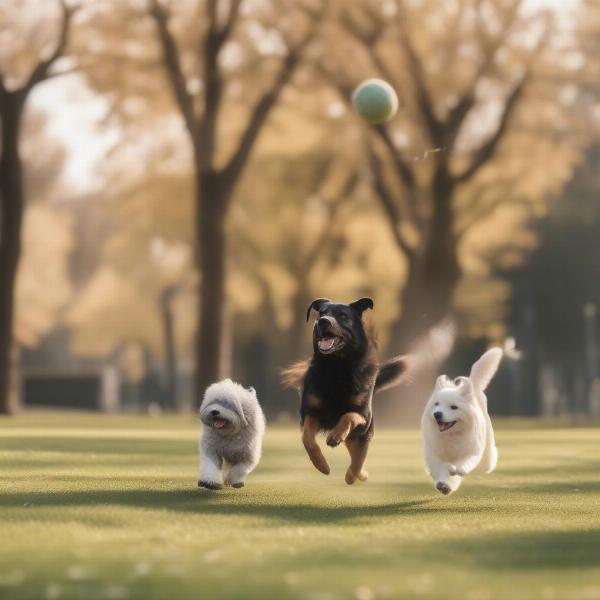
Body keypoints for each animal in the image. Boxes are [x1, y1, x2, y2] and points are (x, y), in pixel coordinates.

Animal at [282, 298, 408, 486]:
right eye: (321, 313)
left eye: (342, 315)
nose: (323, 321)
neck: (337, 367)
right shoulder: (310, 411)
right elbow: (307, 438)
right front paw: (321, 465)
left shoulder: (363, 415)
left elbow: (348, 416)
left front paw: (335, 437)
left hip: (363, 432)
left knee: (360, 454)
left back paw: (354, 474)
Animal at [422, 350, 502, 494]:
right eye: (436, 404)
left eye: (454, 407)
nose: (437, 414)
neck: (451, 435)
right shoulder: (434, 455)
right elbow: (441, 469)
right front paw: (444, 484)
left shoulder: (472, 450)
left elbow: (464, 463)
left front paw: (458, 469)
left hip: (487, 452)